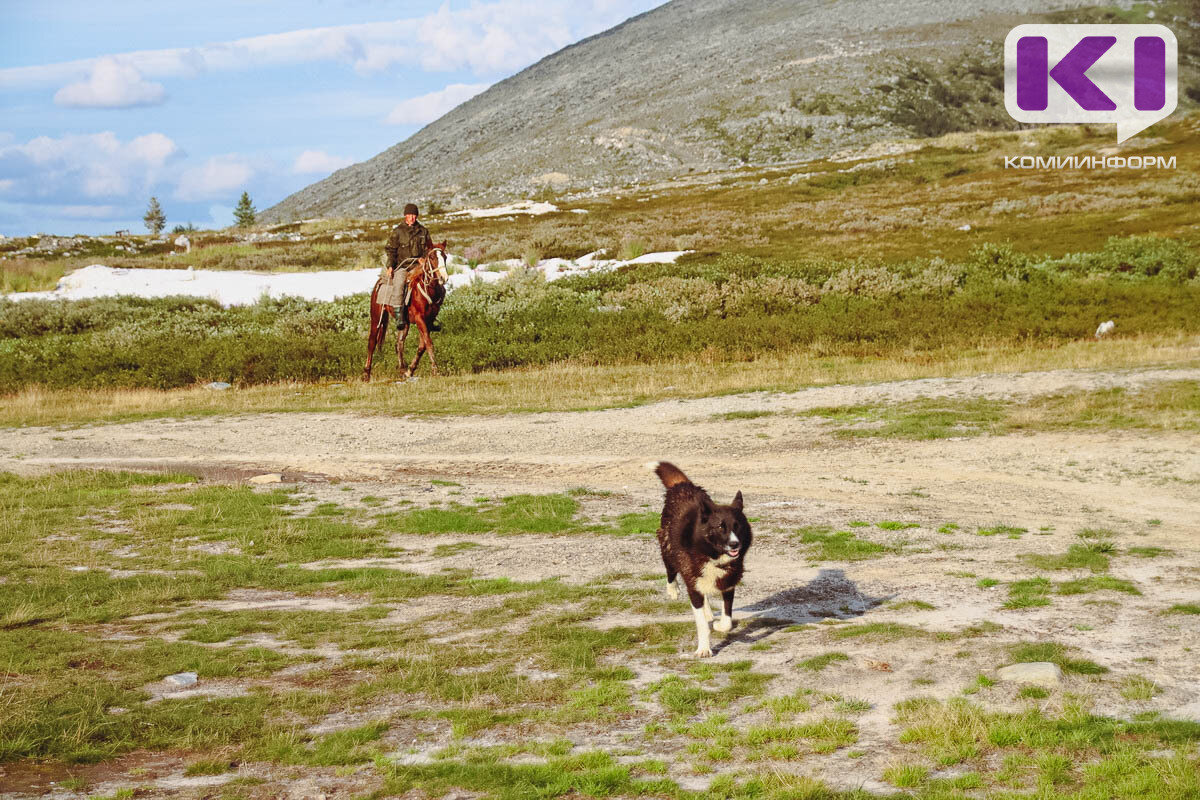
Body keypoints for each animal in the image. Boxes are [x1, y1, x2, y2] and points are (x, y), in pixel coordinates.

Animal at [362, 241, 448, 381]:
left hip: (404, 323)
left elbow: (422, 346)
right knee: (372, 343)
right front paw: (436, 370)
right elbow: (429, 343)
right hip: (376, 318)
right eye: (432, 257)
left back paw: (402, 369)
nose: (443, 278)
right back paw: (366, 373)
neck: (427, 290)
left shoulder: (428, 321)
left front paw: (410, 370)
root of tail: (379, 282)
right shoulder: (419, 319)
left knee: (399, 344)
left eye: (445, 257)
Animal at [648, 462, 748, 657]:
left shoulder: (728, 584)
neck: (711, 554)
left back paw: (708, 611)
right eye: (720, 527)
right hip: (667, 547)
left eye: (737, 526)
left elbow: (727, 620)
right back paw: (673, 590)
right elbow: (701, 624)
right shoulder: (693, 586)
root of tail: (682, 486)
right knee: (670, 571)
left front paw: (718, 625)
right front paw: (703, 649)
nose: (735, 544)